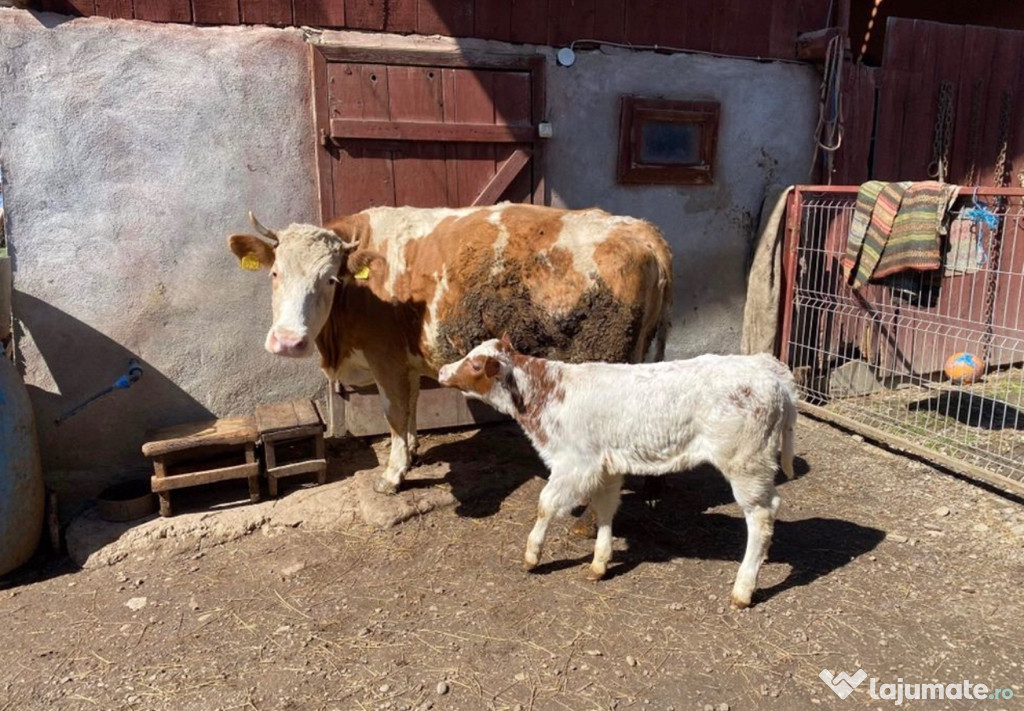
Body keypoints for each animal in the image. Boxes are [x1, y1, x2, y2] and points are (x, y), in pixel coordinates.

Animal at [228, 203, 673, 495]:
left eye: (331, 280)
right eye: (274, 272)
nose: (288, 341)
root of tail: (641, 229)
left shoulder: (384, 355)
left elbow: (393, 412)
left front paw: (392, 475)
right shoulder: (406, 361)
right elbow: (410, 408)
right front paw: (412, 453)